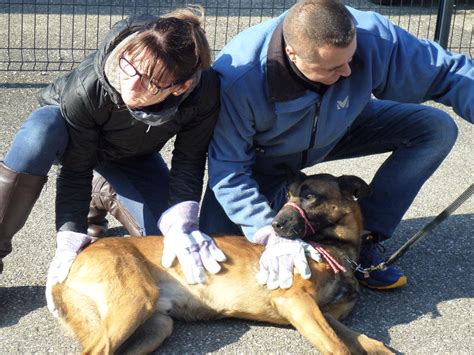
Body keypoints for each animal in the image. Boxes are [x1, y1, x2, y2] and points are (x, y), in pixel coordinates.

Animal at [51, 172, 392, 354]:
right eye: (289, 197)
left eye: (310, 197)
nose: (275, 224)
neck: (334, 248)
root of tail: (78, 256)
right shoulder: (296, 302)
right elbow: (339, 347)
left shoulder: (326, 315)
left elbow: (367, 342)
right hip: (136, 300)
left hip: (157, 325)